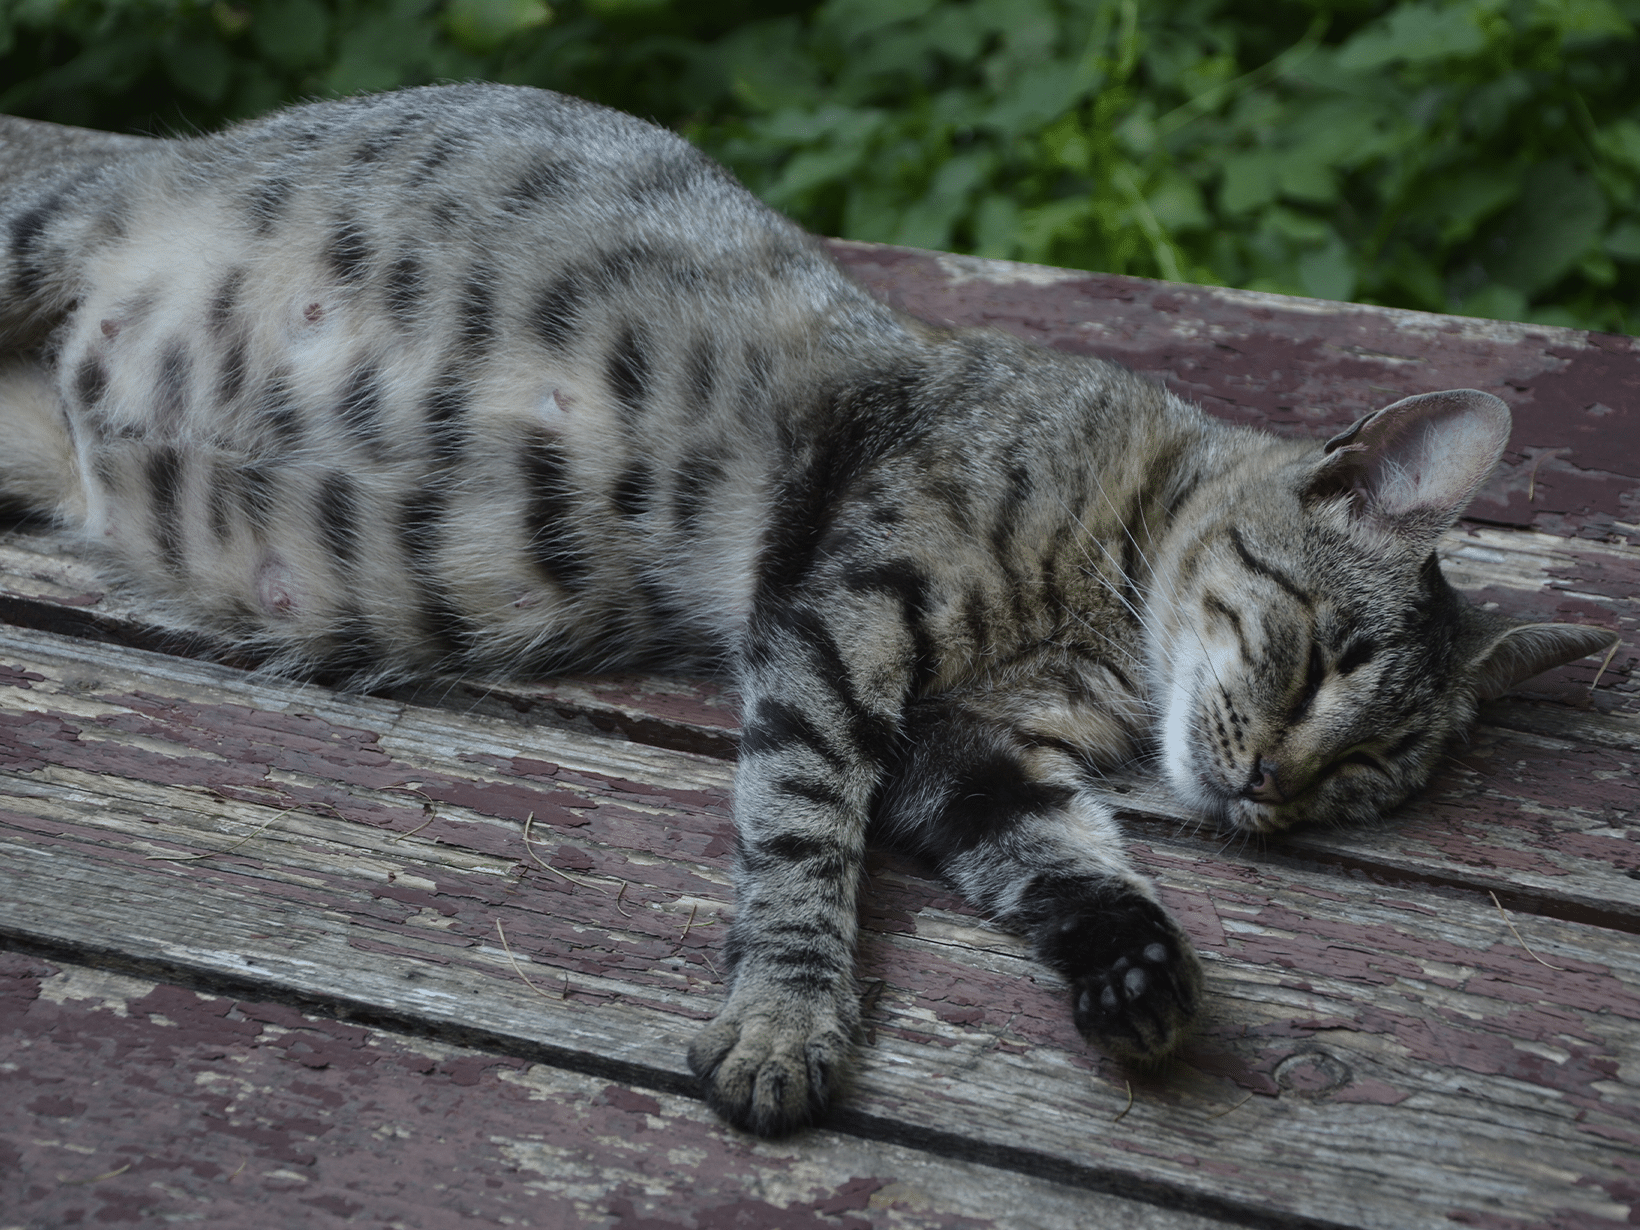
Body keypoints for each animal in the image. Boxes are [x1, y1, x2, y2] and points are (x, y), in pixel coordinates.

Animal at [0, 84, 1613, 1134]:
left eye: (1368, 773)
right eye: (1324, 657)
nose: (1274, 787)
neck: (1107, 613)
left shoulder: (964, 749)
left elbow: (1057, 856)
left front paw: (1135, 966)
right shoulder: (845, 624)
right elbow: (801, 833)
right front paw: (784, 1016)